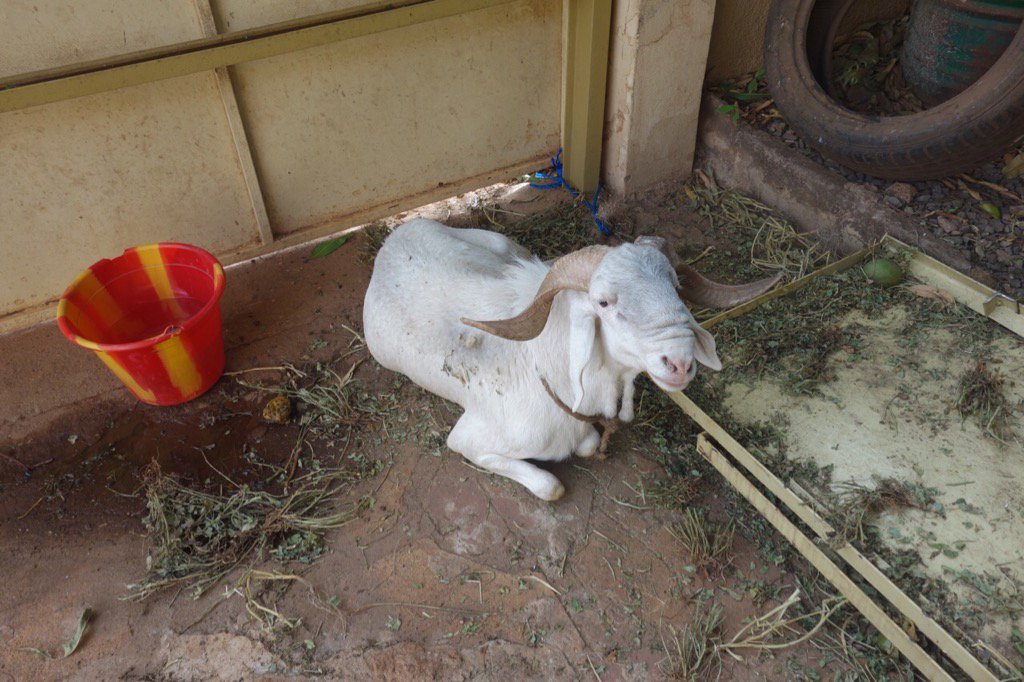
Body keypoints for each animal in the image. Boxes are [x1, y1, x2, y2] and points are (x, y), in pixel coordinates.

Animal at [363, 219, 778, 500]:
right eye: (603, 302)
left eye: (676, 286)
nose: (679, 362)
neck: (547, 371)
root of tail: (393, 239)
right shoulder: (468, 439)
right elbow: (552, 487)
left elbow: (590, 444)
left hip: (500, 243)